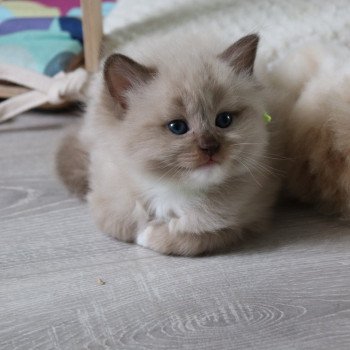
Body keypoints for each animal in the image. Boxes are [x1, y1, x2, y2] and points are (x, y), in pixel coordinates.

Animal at [57, 34, 282, 256]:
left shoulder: (245, 222)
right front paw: (143, 230)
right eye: (177, 127)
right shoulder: (108, 206)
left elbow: (191, 238)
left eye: (224, 120)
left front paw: (150, 236)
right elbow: (124, 226)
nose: (210, 147)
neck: (172, 191)